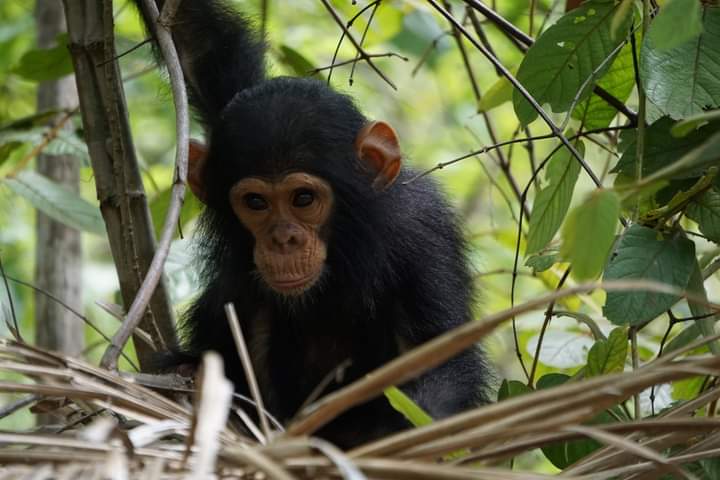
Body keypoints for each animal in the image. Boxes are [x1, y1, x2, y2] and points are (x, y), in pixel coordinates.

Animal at [132, 0, 490, 448]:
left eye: (303, 199)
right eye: (256, 202)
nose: (283, 239)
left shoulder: (420, 236)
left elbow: (439, 360)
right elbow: (197, 44)